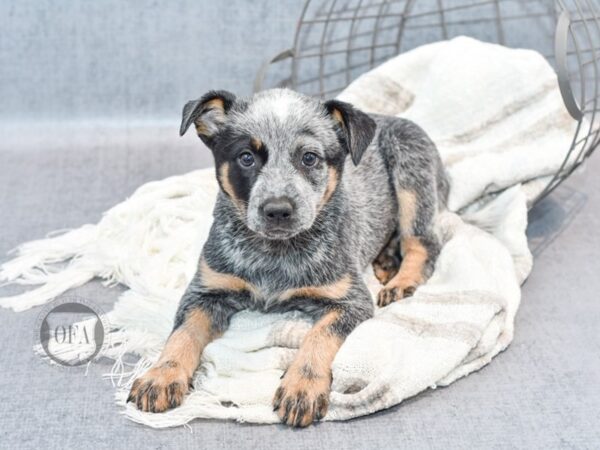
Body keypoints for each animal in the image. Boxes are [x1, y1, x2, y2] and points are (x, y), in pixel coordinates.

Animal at [130, 87, 450, 426]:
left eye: (309, 158)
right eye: (246, 157)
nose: (278, 210)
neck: (273, 254)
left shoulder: (349, 300)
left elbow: (319, 336)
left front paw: (302, 386)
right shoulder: (206, 290)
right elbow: (183, 333)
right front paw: (161, 376)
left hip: (411, 173)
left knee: (424, 242)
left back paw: (401, 281)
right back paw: (386, 261)